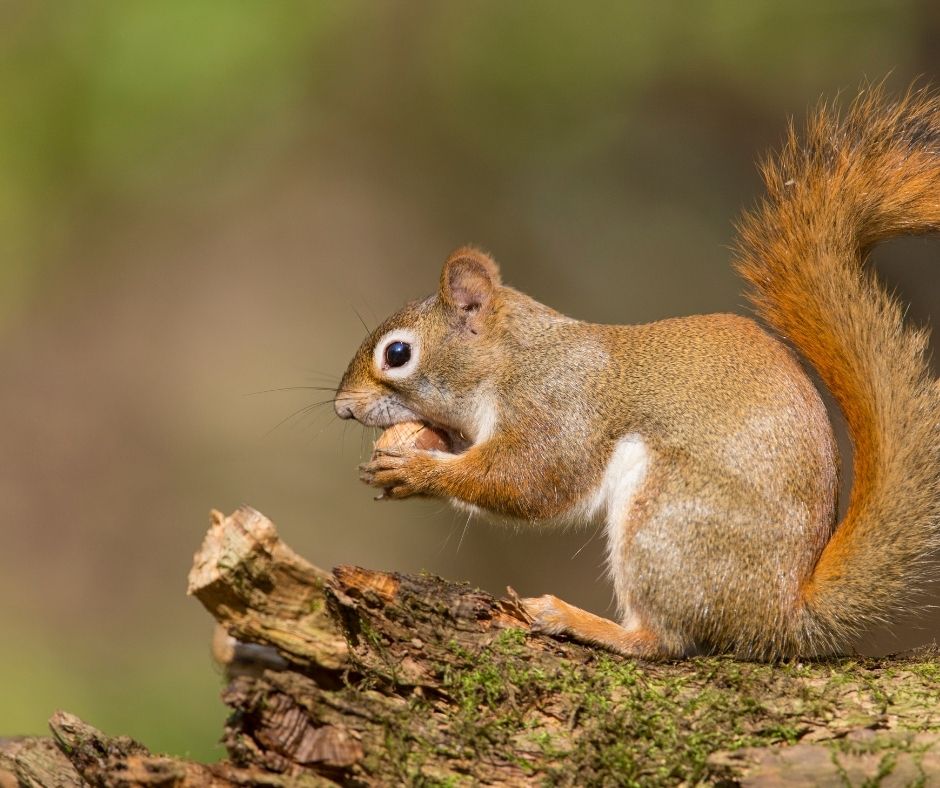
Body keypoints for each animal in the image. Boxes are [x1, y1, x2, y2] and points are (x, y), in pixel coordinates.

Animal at [334, 86, 940, 660]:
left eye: (397, 354)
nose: (342, 407)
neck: (513, 359)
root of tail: (782, 616)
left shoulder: (557, 404)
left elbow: (531, 480)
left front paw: (417, 471)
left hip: (665, 520)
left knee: (662, 640)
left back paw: (575, 619)